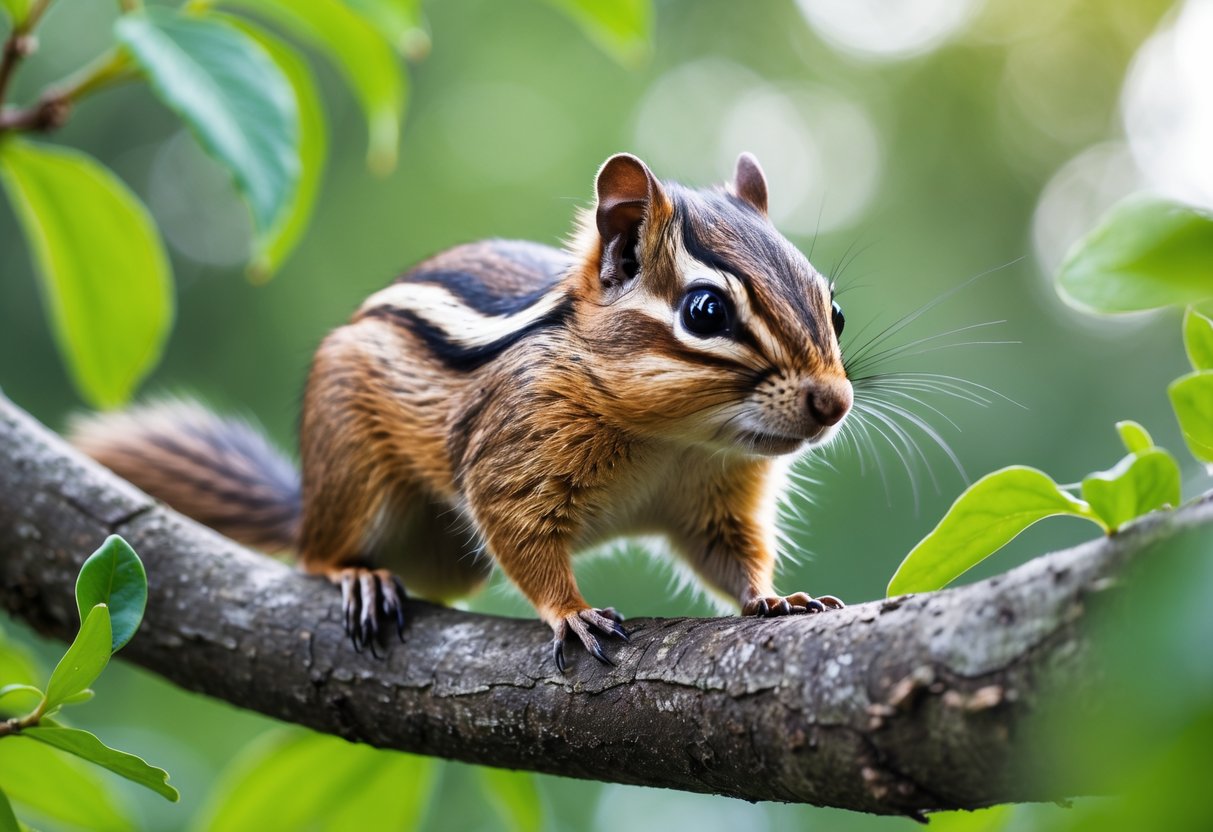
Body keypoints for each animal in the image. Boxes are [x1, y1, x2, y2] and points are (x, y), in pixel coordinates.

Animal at [71, 152, 853, 670]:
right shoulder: (514, 453)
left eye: (834, 309)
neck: (676, 438)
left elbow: (731, 553)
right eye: (706, 311)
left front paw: (773, 599)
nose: (834, 402)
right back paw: (355, 575)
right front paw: (572, 612)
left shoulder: (715, 495)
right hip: (352, 470)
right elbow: (522, 535)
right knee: (313, 552)